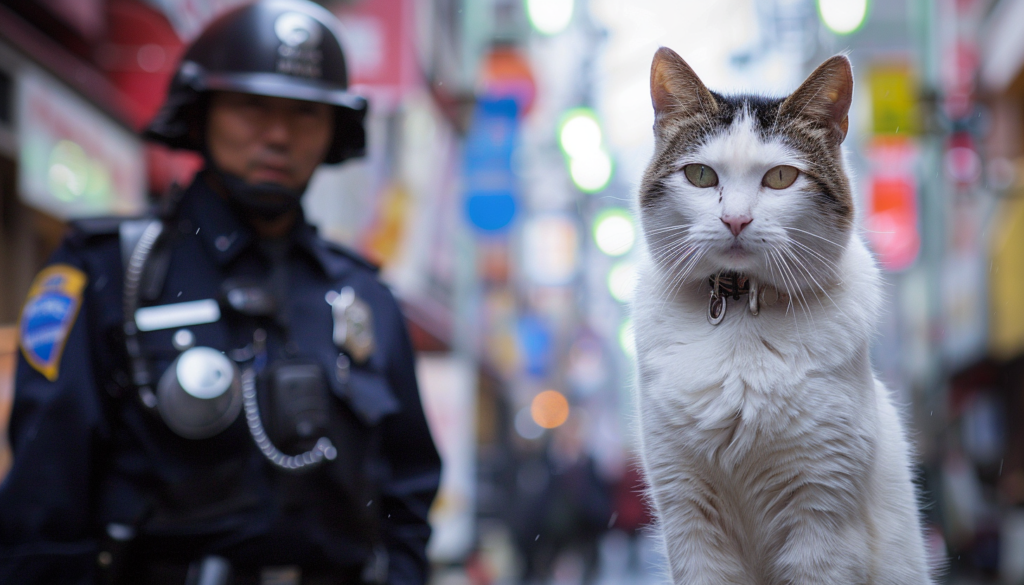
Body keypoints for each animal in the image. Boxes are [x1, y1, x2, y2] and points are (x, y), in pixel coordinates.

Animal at [630, 46, 937, 585]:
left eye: (780, 177)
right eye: (701, 175)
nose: (735, 219)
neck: (738, 312)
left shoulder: (824, 518)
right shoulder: (686, 514)